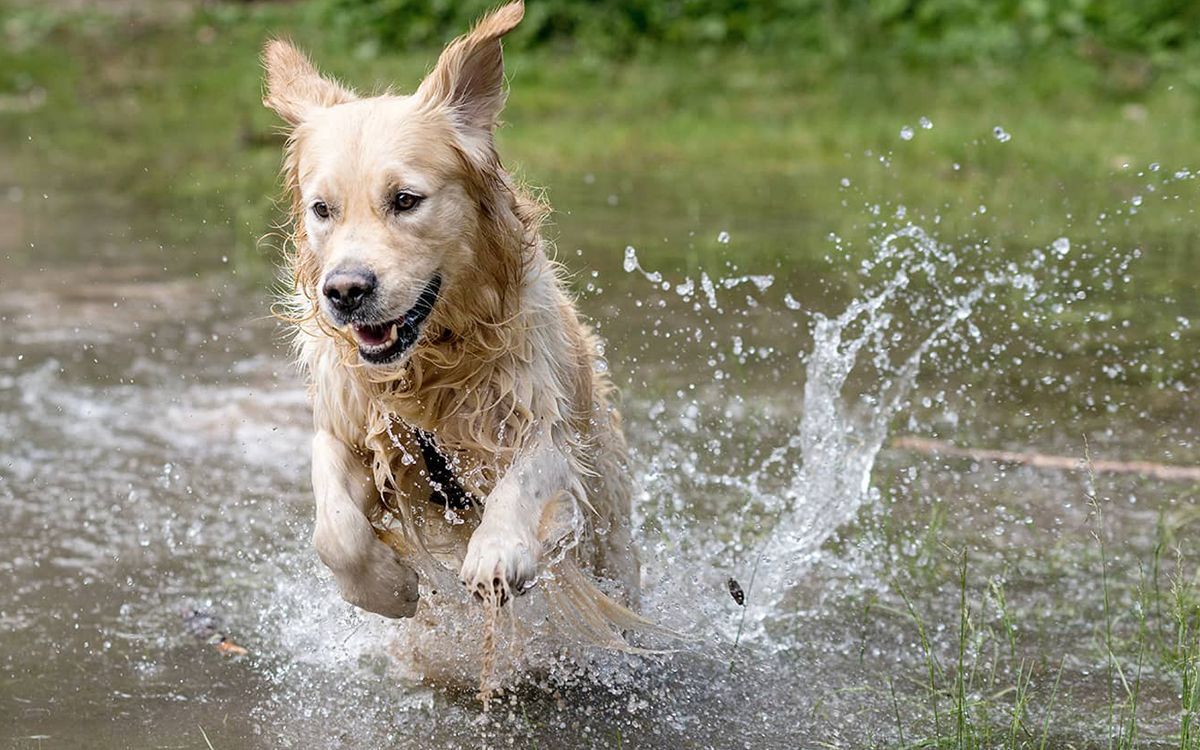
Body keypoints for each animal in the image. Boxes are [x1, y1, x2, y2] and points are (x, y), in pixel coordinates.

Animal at [260, 0, 648, 662]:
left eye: (405, 199)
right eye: (322, 209)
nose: (345, 291)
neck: (427, 370)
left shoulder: (543, 423)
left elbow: (524, 477)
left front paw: (497, 551)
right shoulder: (347, 426)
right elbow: (334, 527)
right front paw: (387, 589)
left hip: (611, 533)